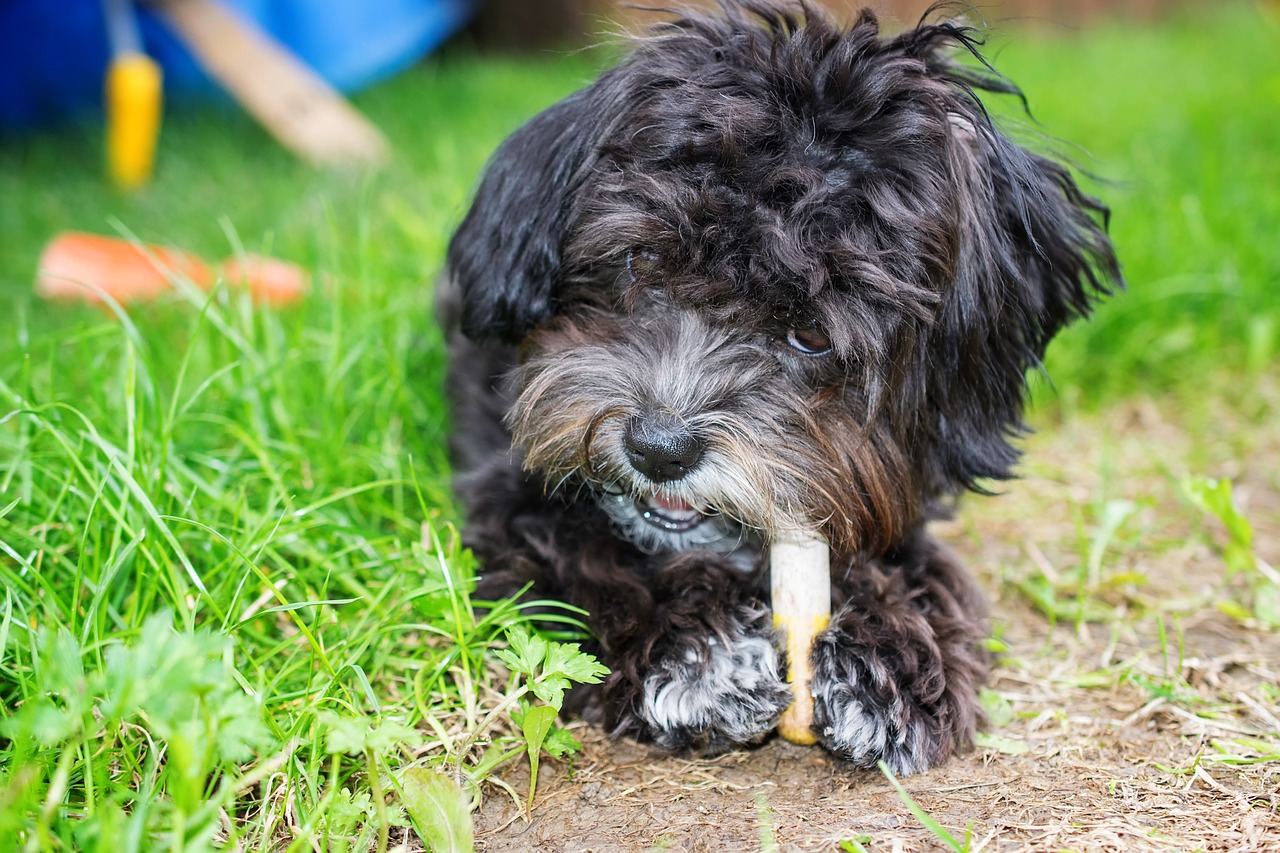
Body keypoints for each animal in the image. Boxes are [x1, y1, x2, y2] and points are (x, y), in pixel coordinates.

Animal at [440, 0, 1121, 768]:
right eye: (639, 259)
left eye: (814, 334)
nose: (658, 449)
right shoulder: (508, 495)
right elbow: (586, 560)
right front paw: (699, 651)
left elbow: (922, 567)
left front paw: (888, 654)